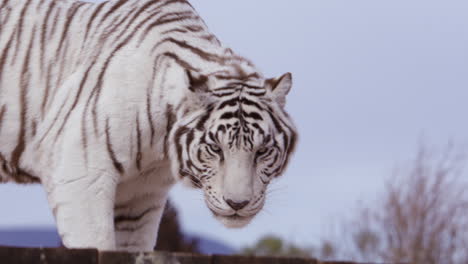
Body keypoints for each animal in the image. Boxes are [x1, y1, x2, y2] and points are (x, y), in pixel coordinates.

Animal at [0, 0, 296, 252]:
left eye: (262, 151)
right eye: (215, 148)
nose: (237, 204)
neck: (160, 145)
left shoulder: (140, 198)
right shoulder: (80, 174)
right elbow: (98, 244)